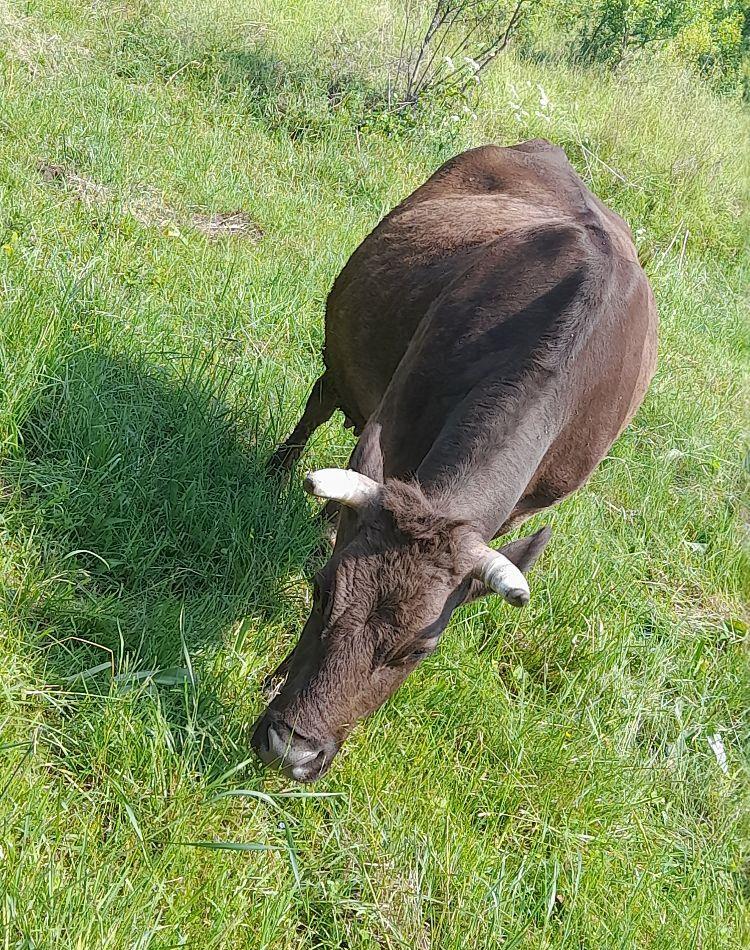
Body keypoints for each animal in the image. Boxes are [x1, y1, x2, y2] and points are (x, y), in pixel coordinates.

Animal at [251, 139, 658, 782]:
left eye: (421, 649)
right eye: (322, 593)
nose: (292, 752)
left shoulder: (523, 507)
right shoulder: (397, 420)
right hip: (345, 359)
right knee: (321, 400)